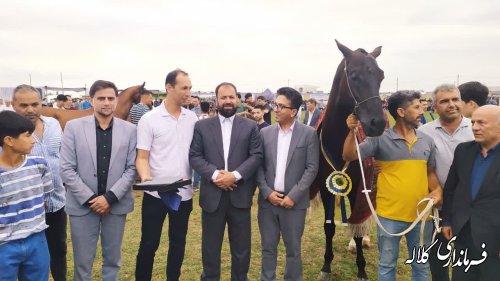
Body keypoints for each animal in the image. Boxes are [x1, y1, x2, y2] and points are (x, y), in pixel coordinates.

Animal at [312, 41, 386, 280]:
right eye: (354, 75)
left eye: (381, 76)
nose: (377, 123)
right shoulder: (326, 187)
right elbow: (329, 227)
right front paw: (326, 266)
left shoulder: (359, 187)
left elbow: (358, 226)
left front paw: (361, 268)